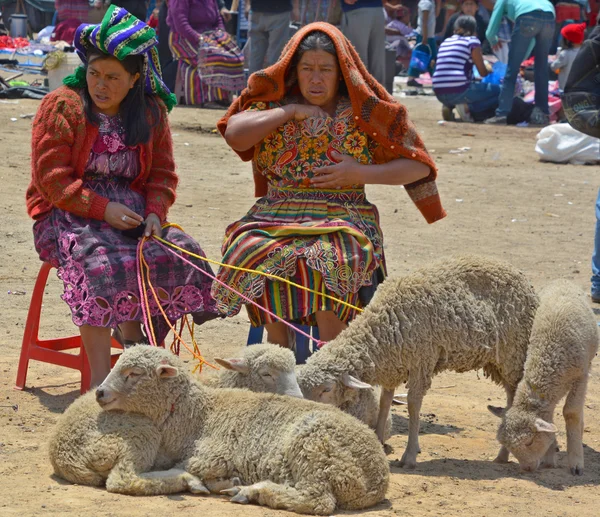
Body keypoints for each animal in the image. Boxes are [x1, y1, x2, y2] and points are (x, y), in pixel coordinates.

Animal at [92, 344, 390, 512]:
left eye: (134, 373)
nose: (100, 393)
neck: (197, 415)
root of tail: (377, 477)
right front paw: (224, 481)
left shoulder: (212, 456)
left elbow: (195, 471)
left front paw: (216, 482)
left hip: (314, 449)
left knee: (318, 500)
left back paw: (252, 491)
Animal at [300, 254, 540, 468]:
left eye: (326, 389)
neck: (383, 325)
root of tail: (522, 277)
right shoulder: (393, 363)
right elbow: (385, 401)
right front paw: (378, 439)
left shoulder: (421, 360)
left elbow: (413, 405)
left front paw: (409, 455)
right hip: (500, 362)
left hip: (514, 354)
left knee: (514, 398)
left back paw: (504, 454)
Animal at [490, 280, 596, 474]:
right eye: (507, 444)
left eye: (530, 442)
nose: (527, 469)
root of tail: (562, 280)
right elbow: (550, 420)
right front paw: (549, 458)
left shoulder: (580, 377)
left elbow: (571, 413)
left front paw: (576, 462)